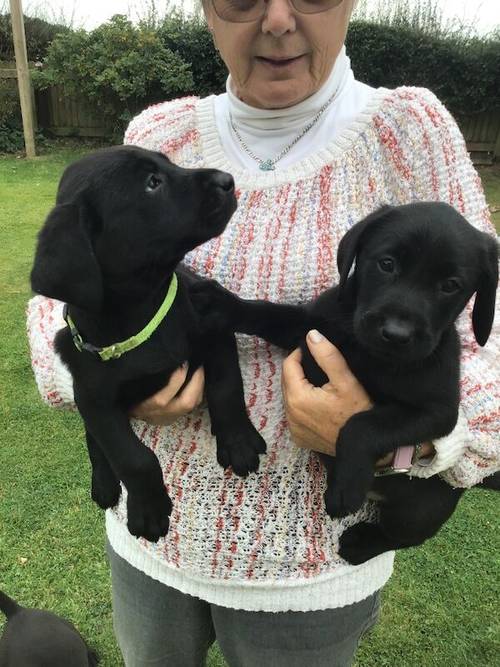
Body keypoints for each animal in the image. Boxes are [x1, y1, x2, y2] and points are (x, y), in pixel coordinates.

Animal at [30, 146, 266, 544]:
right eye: (152, 183)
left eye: (169, 164)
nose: (227, 181)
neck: (141, 313)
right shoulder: (94, 398)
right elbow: (132, 456)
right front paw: (149, 510)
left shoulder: (215, 324)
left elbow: (226, 386)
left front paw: (238, 441)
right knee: (95, 442)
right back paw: (104, 483)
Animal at [192, 202, 500, 564]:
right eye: (387, 264)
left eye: (451, 285)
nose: (396, 334)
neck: (367, 352)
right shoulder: (308, 329)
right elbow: (267, 313)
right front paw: (222, 302)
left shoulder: (436, 412)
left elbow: (362, 425)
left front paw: (347, 486)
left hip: (417, 510)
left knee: (401, 537)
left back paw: (360, 543)